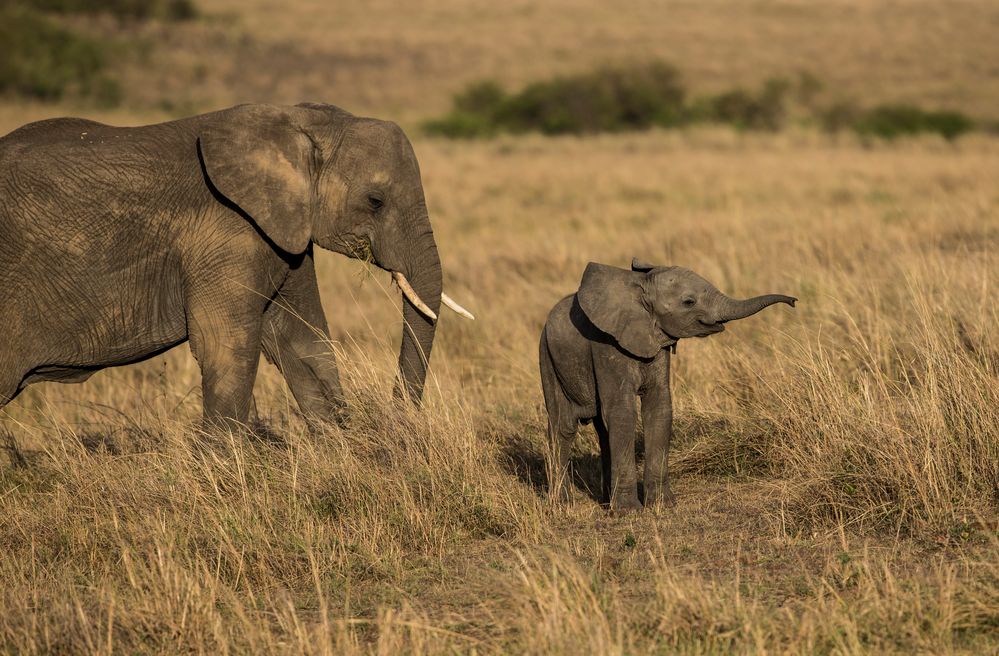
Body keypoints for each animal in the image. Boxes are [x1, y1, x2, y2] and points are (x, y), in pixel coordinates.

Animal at [0, 102, 472, 430]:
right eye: (375, 201)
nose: (395, 424)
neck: (301, 122)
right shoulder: (228, 229)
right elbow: (225, 344)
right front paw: (224, 477)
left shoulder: (279, 229)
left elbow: (302, 339)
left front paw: (342, 450)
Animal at [540, 258, 796, 510]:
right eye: (689, 302)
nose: (793, 302)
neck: (641, 287)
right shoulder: (605, 345)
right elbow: (623, 414)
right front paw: (629, 512)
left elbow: (659, 408)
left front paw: (663, 505)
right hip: (548, 356)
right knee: (563, 426)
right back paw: (562, 504)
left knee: (601, 430)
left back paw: (604, 502)